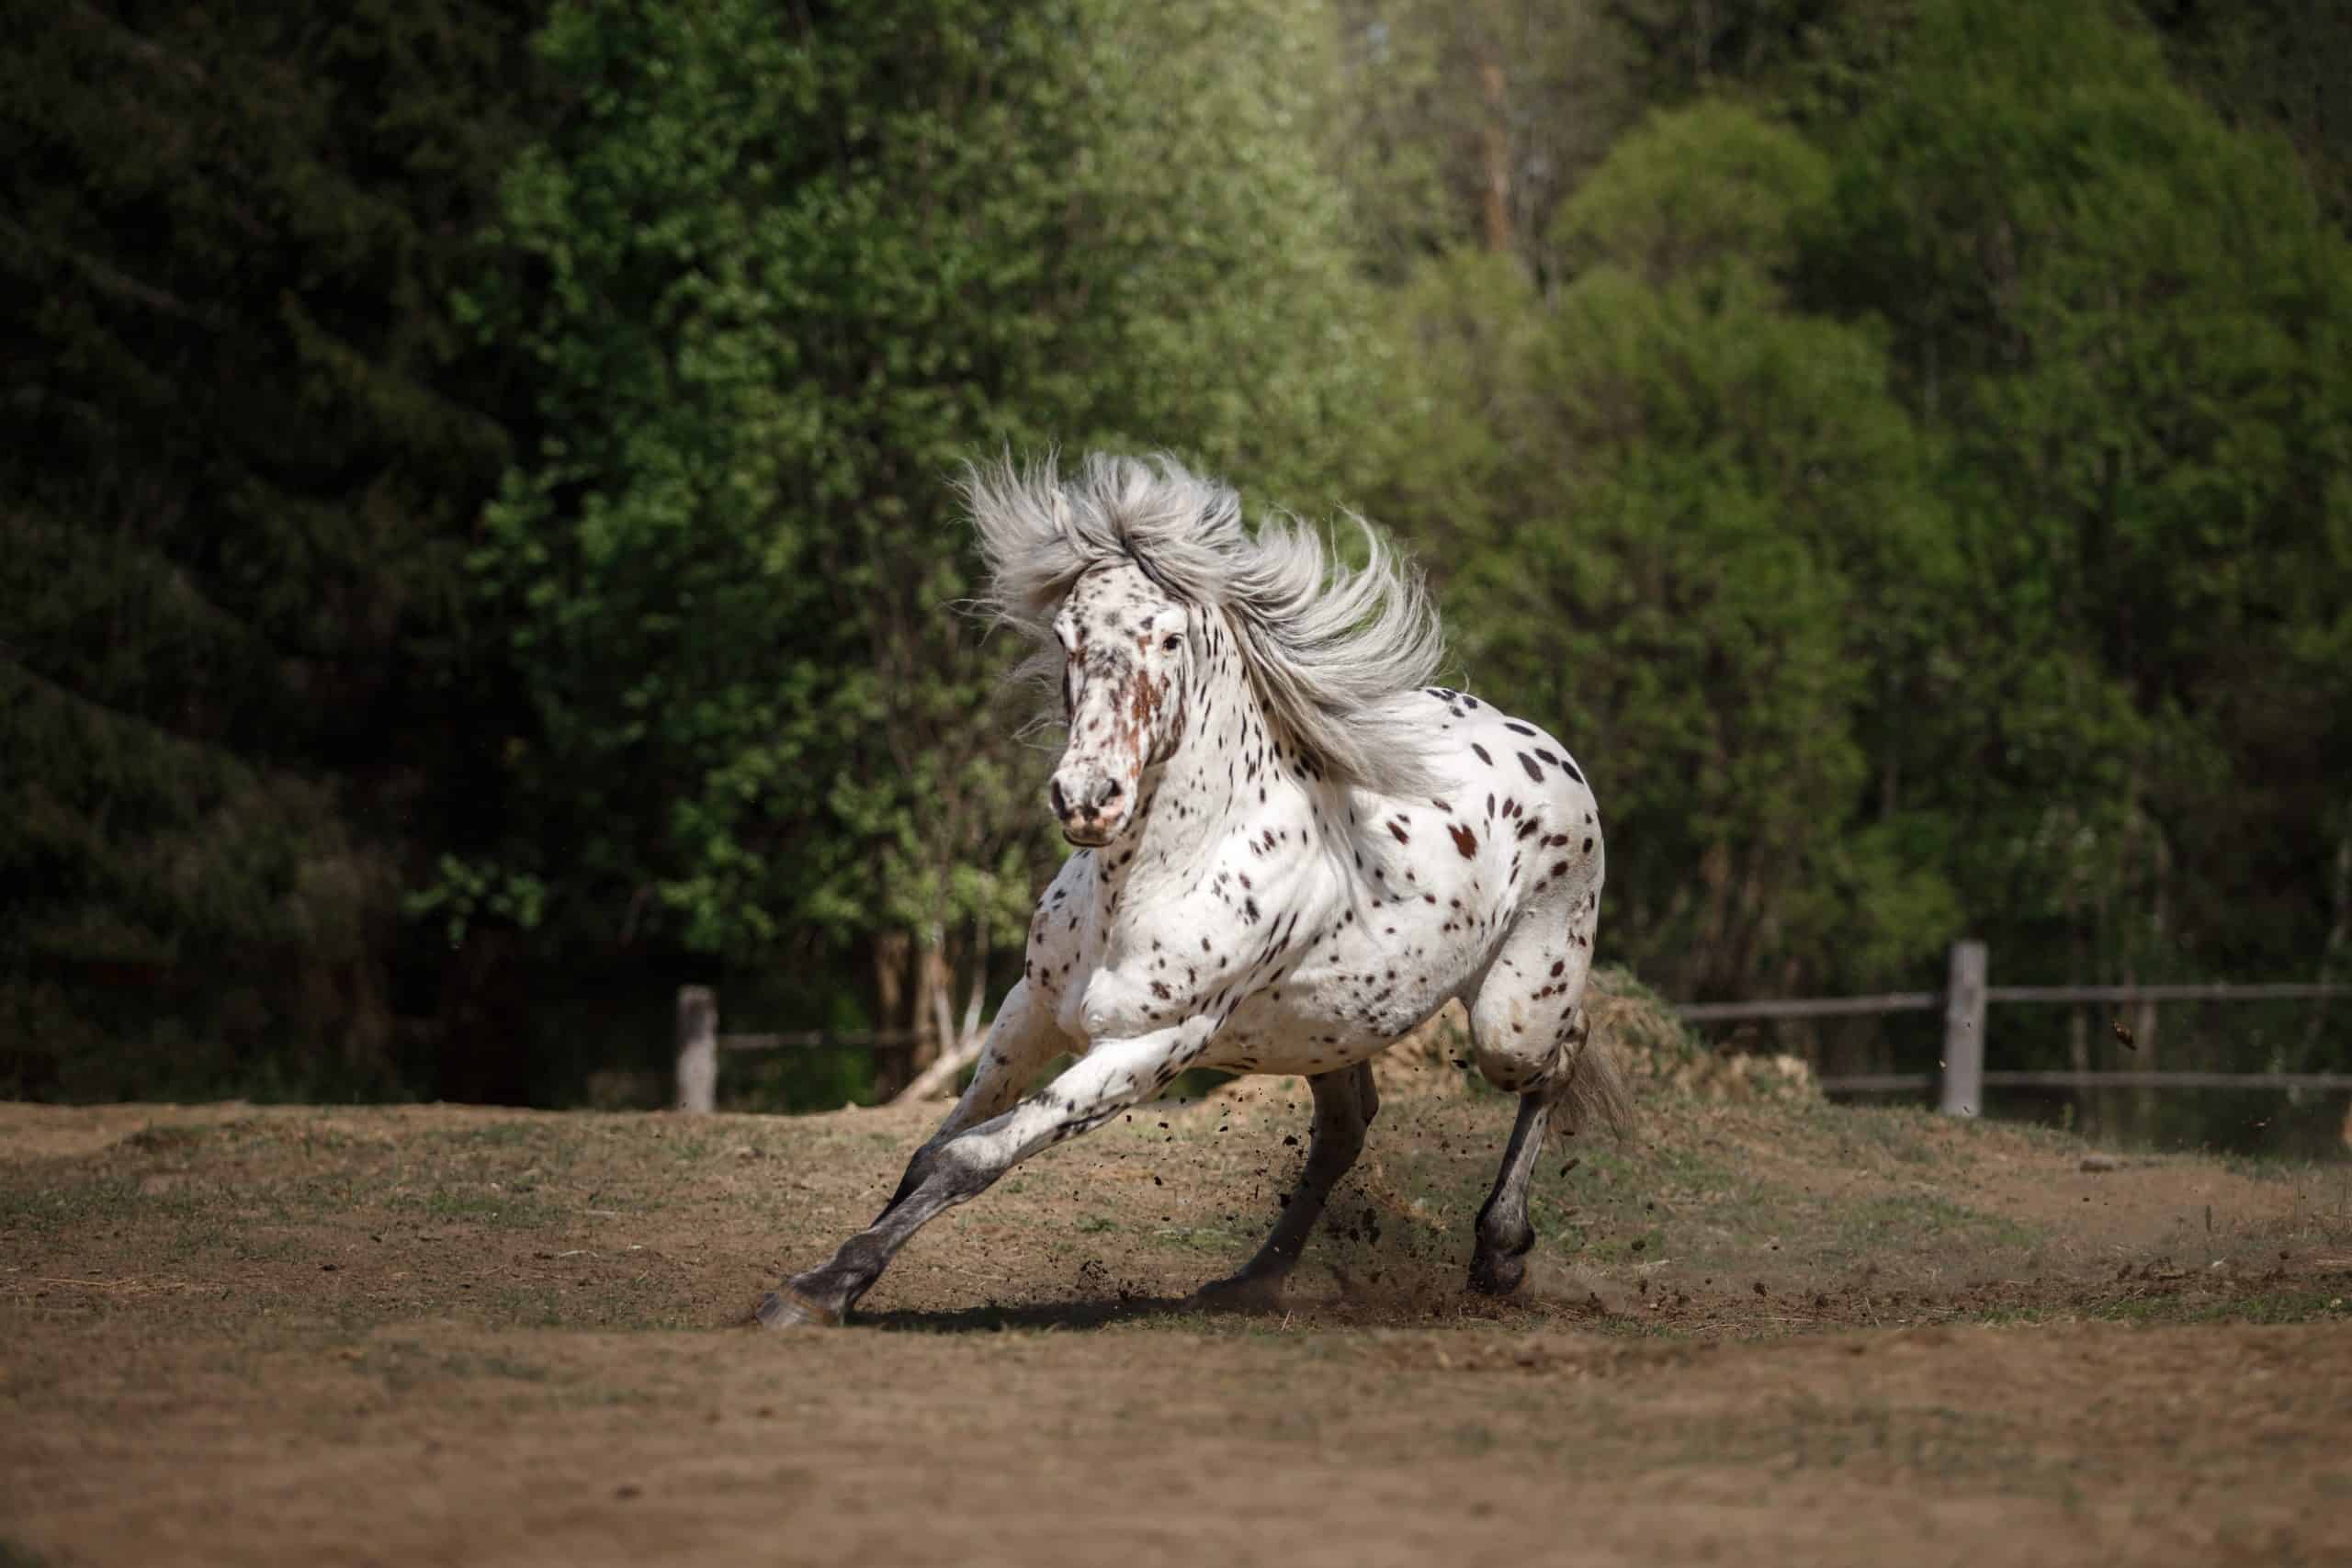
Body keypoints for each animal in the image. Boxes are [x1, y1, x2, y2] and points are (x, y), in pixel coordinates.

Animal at [762, 453, 1627, 1325]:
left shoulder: (1148, 1048)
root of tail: (1547, 748)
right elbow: (926, 1151)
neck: (1149, 884)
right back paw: (1252, 1280)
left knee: (1559, 1057)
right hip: (1331, 1028)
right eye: (1067, 636)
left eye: (1170, 635)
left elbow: (970, 1158)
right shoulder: (1030, 1008)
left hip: (1509, 1019)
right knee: (1347, 1129)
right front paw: (827, 1280)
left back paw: (1499, 1252)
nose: (1088, 797)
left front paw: (817, 1290)